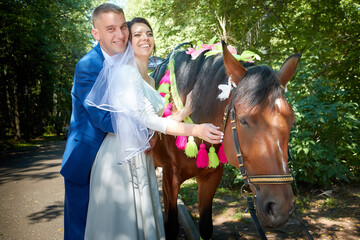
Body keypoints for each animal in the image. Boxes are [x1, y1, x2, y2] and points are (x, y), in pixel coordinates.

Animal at [152, 41, 300, 240]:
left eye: (291, 121)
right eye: (244, 121)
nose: (280, 208)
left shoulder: (211, 177)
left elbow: (206, 226)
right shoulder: (169, 177)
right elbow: (171, 226)